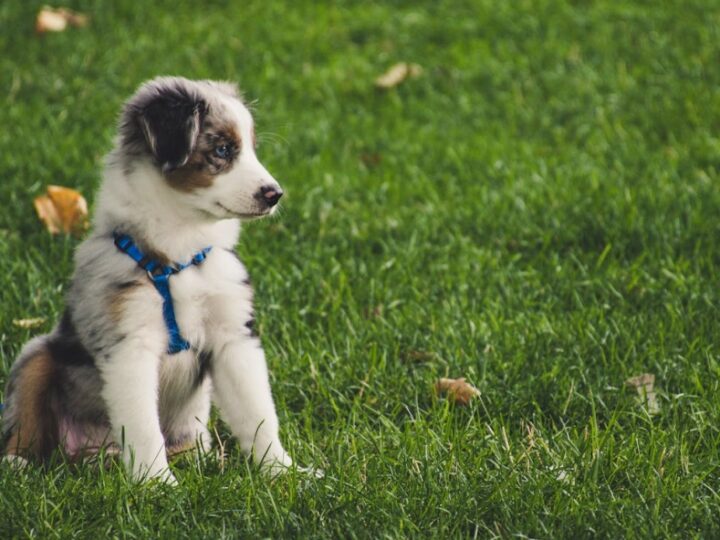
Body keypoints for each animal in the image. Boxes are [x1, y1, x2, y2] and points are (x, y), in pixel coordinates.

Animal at [1, 77, 302, 486]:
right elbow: (143, 426)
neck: (180, 255)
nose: (275, 195)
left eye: (252, 149)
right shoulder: (130, 344)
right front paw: (157, 485)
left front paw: (285, 473)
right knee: (26, 416)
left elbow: (258, 412)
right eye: (223, 149)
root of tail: (89, 452)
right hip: (37, 354)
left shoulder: (234, 337)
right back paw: (18, 463)